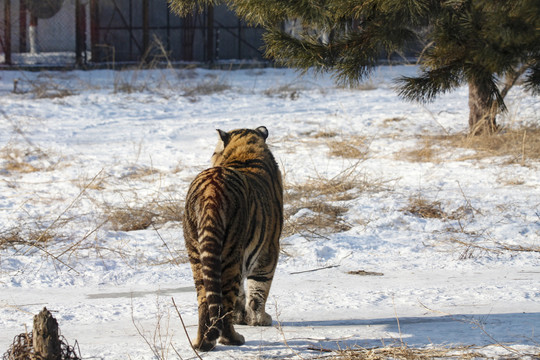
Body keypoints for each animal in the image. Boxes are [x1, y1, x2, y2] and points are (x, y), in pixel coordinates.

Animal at [182, 125, 282, 350]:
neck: (244, 152)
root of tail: (211, 191)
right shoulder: (269, 250)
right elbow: (258, 289)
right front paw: (259, 320)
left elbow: (243, 293)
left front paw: (243, 318)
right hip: (230, 253)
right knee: (225, 301)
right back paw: (233, 339)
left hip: (197, 254)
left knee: (205, 301)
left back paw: (202, 343)